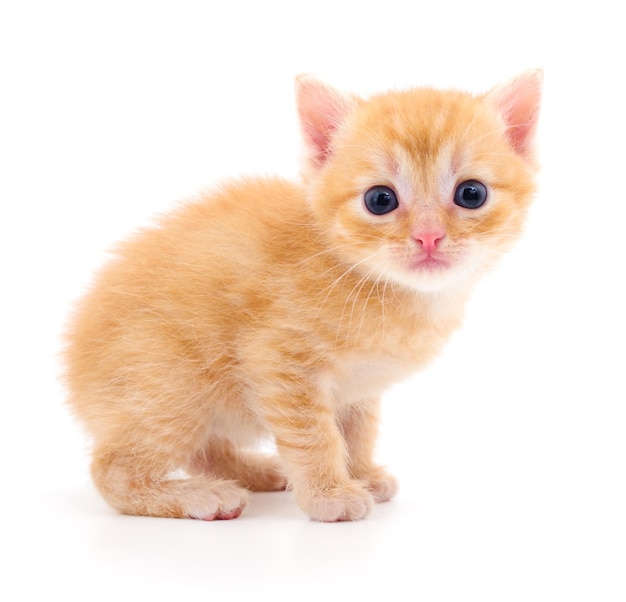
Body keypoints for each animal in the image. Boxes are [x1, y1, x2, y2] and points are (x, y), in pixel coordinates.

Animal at [64, 71, 540, 520]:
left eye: (471, 193)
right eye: (380, 199)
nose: (428, 237)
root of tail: (75, 374)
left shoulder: (359, 384)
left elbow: (357, 429)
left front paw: (361, 473)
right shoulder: (278, 359)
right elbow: (314, 435)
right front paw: (329, 495)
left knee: (203, 450)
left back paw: (256, 472)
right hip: (170, 384)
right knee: (112, 469)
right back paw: (201, 496)